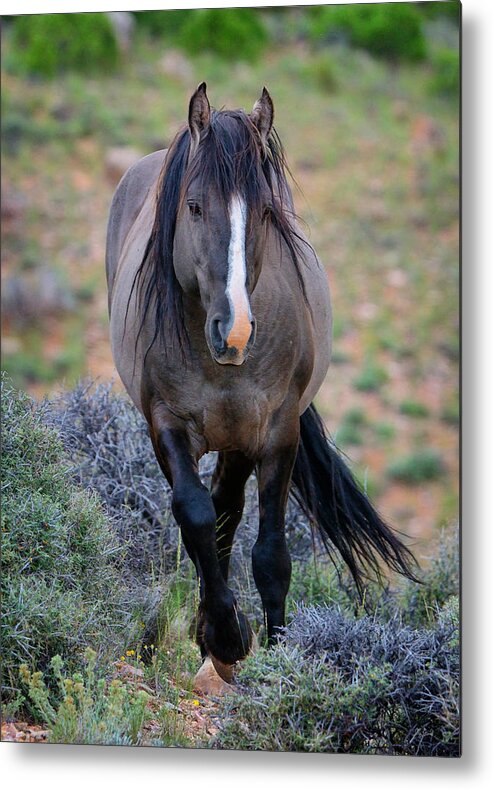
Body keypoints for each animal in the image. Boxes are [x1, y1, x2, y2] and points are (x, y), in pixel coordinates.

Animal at [106, 83, 416, 688]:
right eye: (194, 206)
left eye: (267, 212)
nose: (236, 330)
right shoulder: (165, 424)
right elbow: (195, 516)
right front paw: (226, 636)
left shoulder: (275, 430)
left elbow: (271, 555)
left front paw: (276, 656)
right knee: (210, 518)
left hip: (241, 441)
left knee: (229, 510)